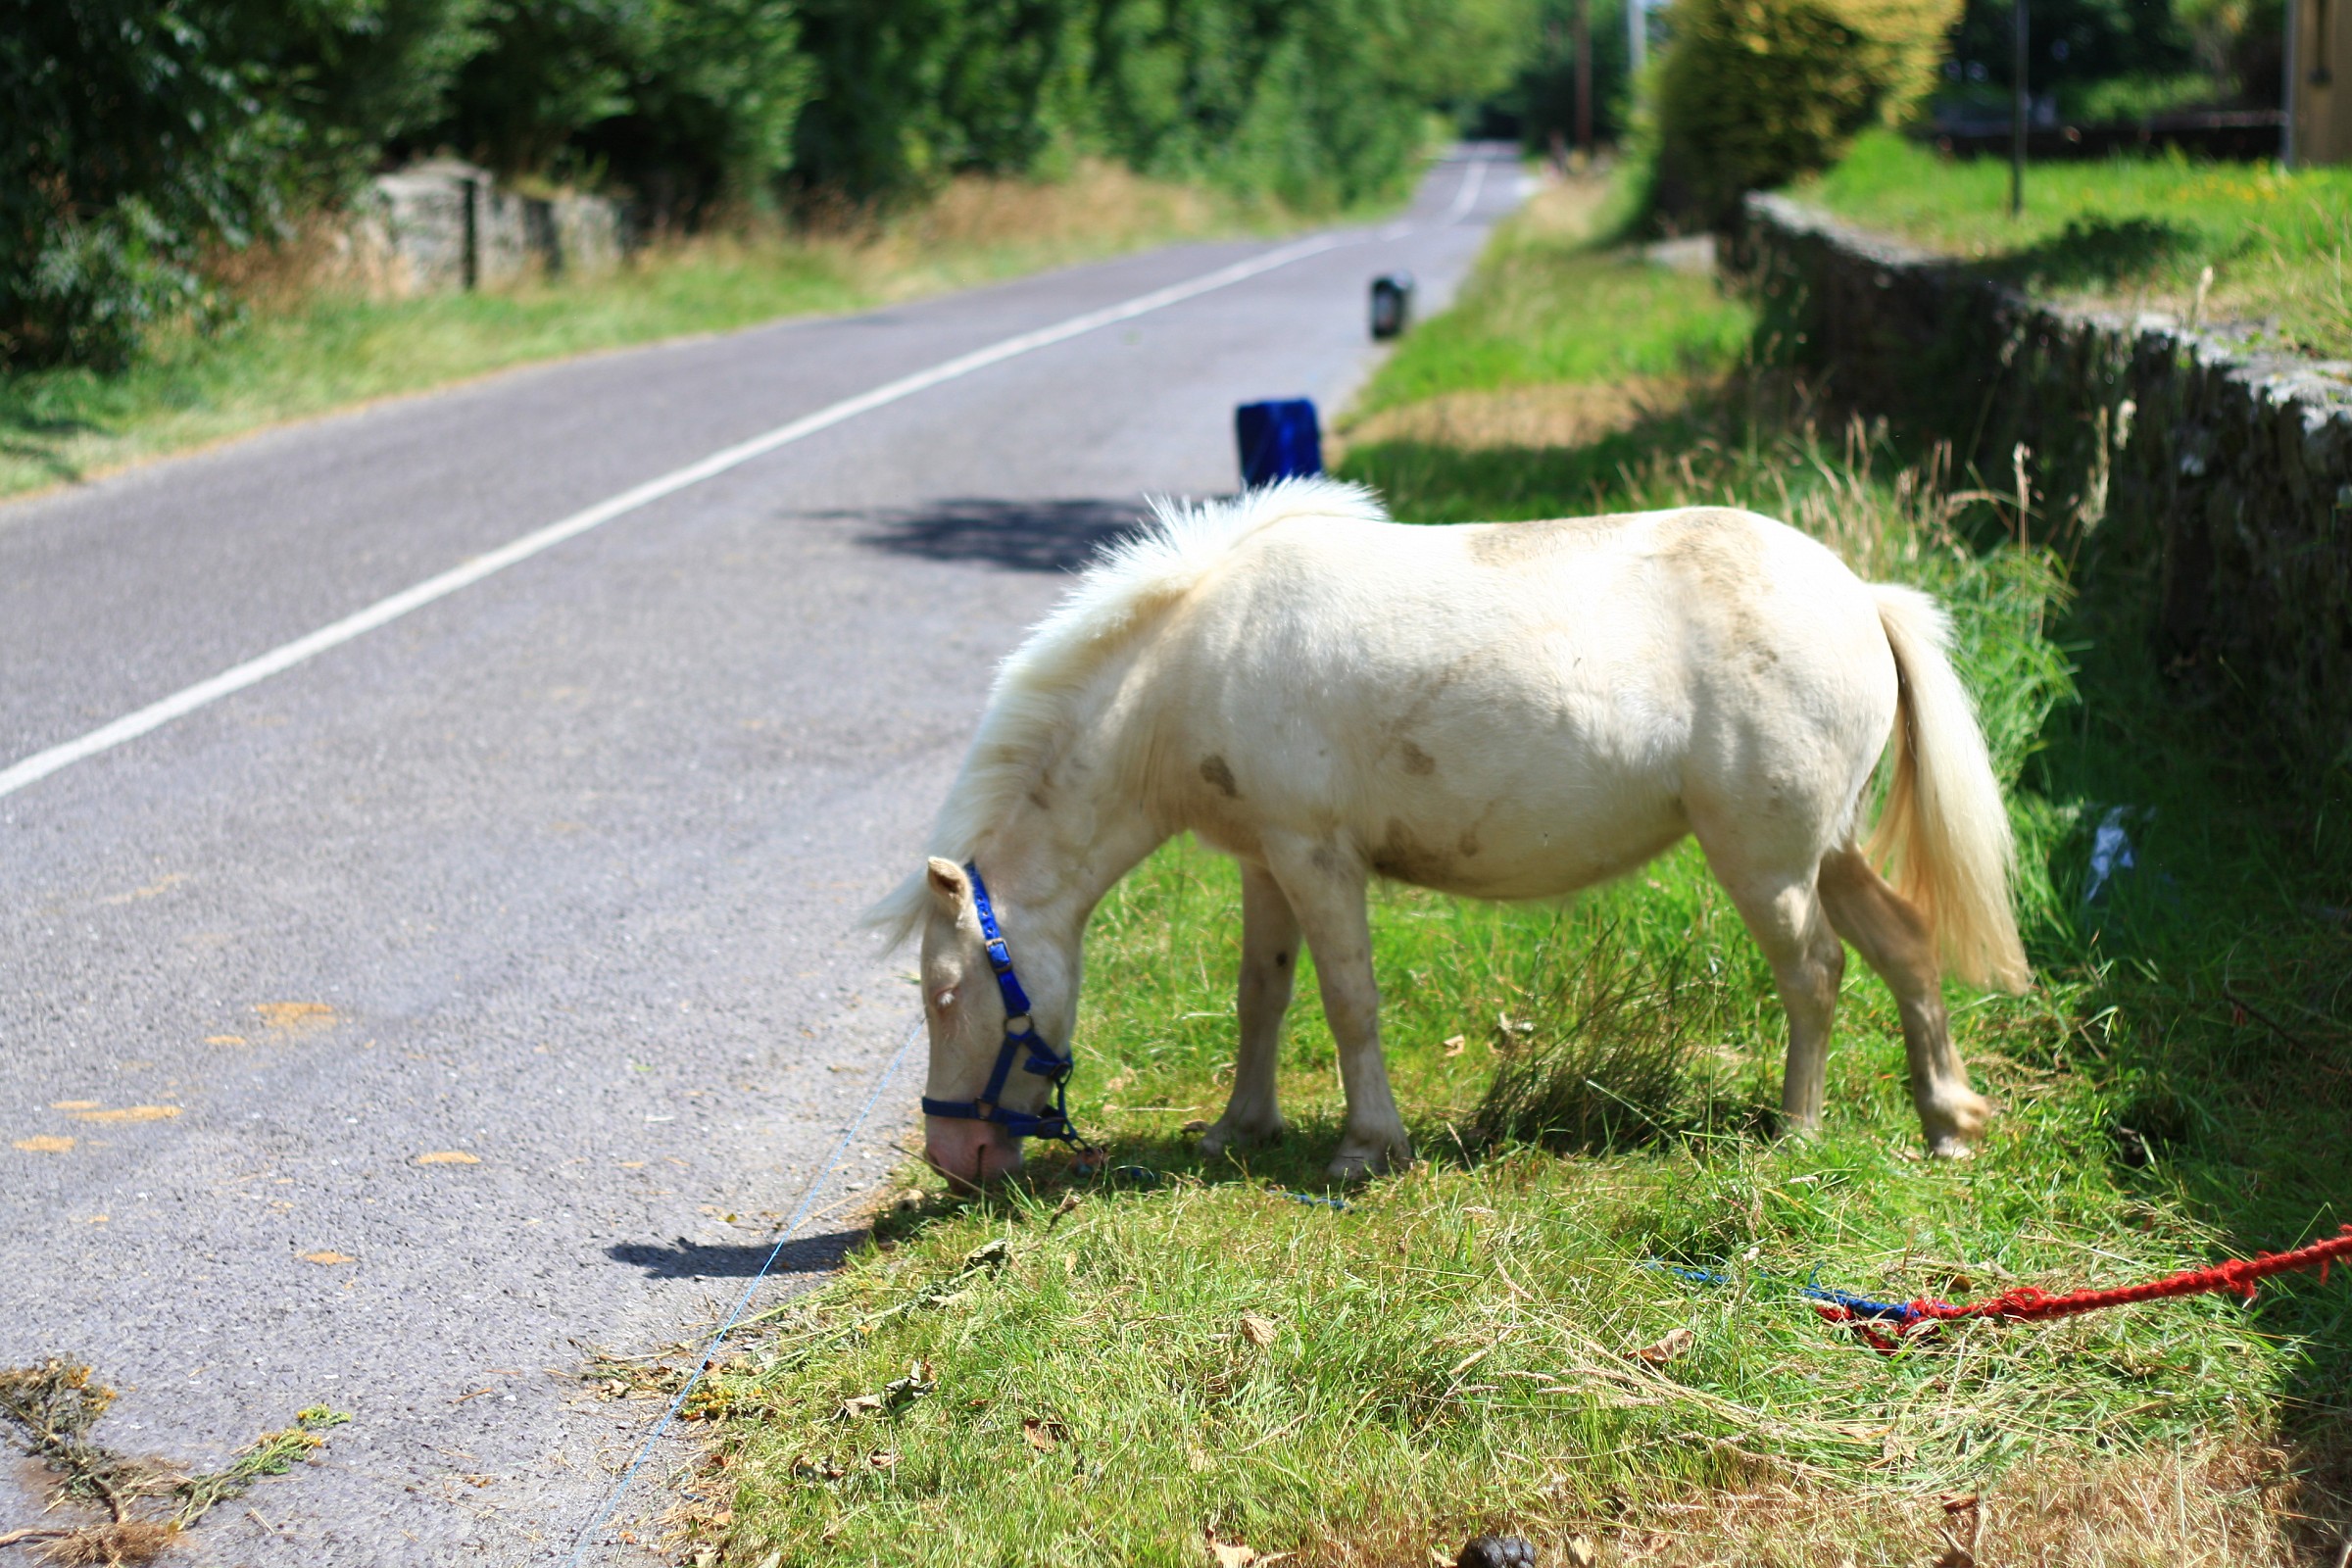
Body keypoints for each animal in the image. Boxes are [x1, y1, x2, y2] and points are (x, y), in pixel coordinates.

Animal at [870, 478, 2030, 1185]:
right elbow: (1261, 997)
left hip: (1768, 862)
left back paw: (1796, 1131)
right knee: (1904, 945)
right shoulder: (1264, 864)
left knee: (1816, 973)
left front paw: (1365, 1147)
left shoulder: (1316, 858)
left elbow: (1348, 1002)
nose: (951, 1159)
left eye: (946, 994)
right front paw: (1239, 1127)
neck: (1191, 665)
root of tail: (1860, 593)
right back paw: (1946, 1120)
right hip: (1825, 850)